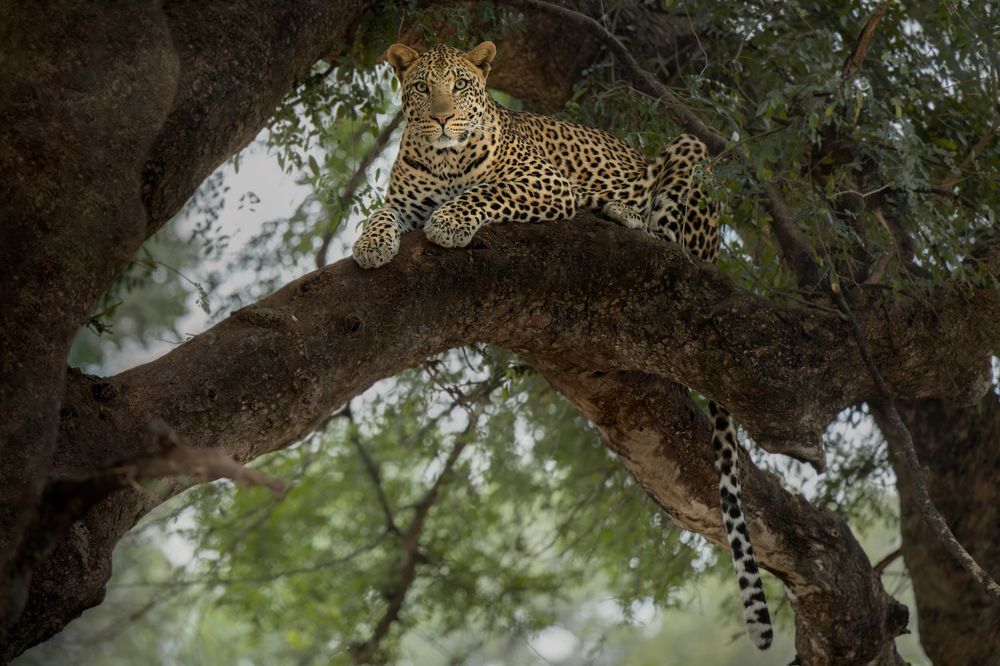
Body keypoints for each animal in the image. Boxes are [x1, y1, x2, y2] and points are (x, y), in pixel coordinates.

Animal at [351, 41, 773, 650]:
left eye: (461, 86)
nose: (443, 119)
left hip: (688, 155)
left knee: (666, 234)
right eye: (422, 87)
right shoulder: (404, 199)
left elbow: (482, 192)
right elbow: (380, 212)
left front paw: (450, 223)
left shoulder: (543, 183)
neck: (446, 159)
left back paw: (625, 214)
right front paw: (370, 243)